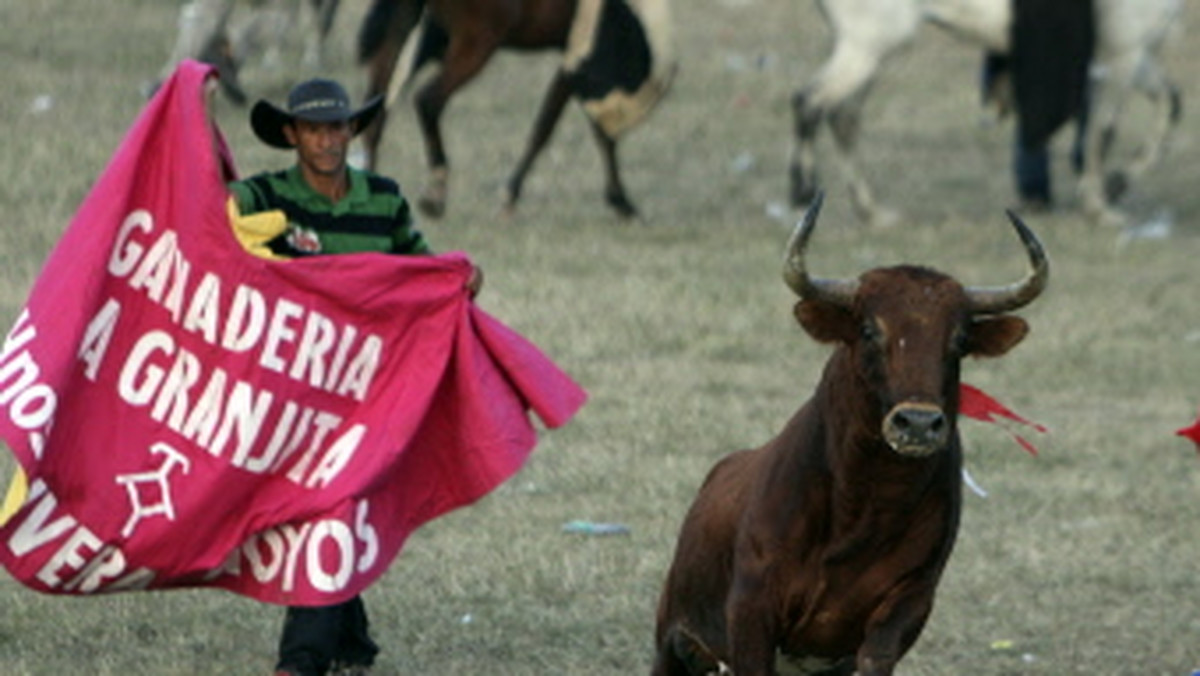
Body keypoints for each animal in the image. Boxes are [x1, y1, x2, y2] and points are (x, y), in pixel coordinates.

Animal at [355, 0, 676, 219]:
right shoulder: (577, 61)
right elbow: (550, 126)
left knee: (379, 104)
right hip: (480, 40)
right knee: (428, 100)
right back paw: (436, 189)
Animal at [652, 193, 1046, 672]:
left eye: (959, 337)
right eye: (870, 329)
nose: (918, 423)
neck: (863, 510)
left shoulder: (905, 606)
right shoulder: (751, 608)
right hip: (672, 639)